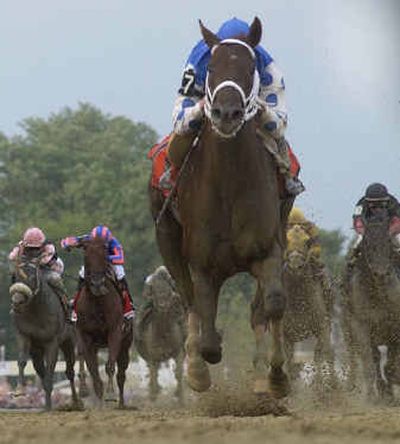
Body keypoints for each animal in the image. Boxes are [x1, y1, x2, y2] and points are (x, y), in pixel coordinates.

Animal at [9, 258, 79, 412]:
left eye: (31, 277)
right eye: (15, 277)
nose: (17, 302)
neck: (36, 311)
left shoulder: (52, 342)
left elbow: (51, 368)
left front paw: (48, 406)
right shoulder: (23, 335)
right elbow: (22, 361)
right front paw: (19, 391)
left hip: (69, 343)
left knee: (70, 371)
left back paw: (76, 403)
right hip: (36, 350)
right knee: (40, 369)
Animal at [74, 238, 132, 408]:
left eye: (104, 256)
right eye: (86, 256)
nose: (97, 284)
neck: (97, 303)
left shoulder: (115, 331)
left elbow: (110, 366)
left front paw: (110, 395)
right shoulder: (85, 335)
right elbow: (93, 370)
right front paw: (98, 398)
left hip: (125, 344)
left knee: (121, 374)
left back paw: (121, 404)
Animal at [150, 18, 290, 398]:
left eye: (249, 67)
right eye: (211, 67)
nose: (226, 113)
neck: (229, 183)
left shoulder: (268, 250)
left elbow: (272, 305)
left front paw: (275, 376)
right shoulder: (202, 264)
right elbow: (208, 334)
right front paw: (199, 369)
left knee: (258, 310)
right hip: (167, 237)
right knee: (188, 301)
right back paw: (196, 368)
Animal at [342, 206, 400, 400]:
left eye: (389, 242)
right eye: (367, 244)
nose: (381, 274)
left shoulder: (395, 325)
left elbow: (392, 362)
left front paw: (391, 384)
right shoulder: (360, 324)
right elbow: (368, 362)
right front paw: (372, 396)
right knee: (372, 358)